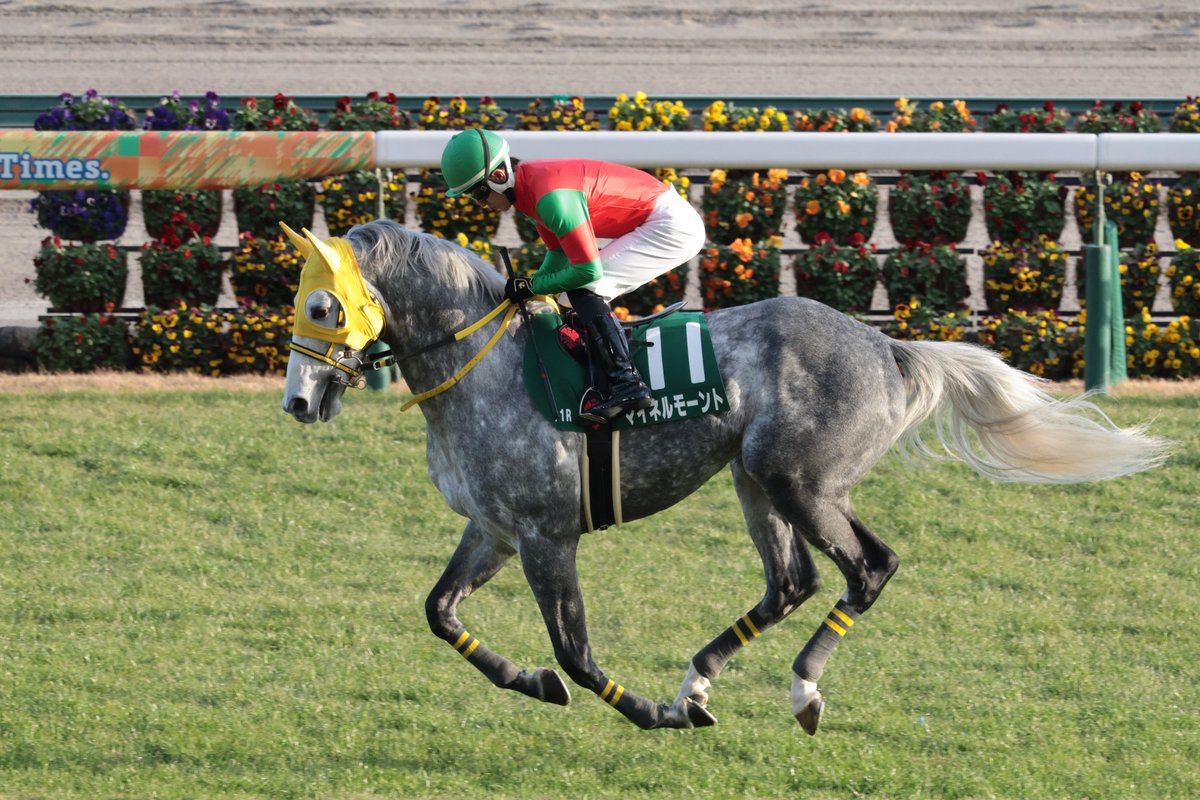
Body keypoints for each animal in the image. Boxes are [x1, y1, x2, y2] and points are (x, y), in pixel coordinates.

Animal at [280, 218, 1166, 733]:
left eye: (323, 308)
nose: (297, 400)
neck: (485, 367)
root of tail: (888, 346)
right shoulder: (493, 528)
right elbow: (439, 613)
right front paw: (533, 682)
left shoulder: (545, 533)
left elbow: (575, 649)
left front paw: (638, 711)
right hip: (760, 481)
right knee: (795, 581)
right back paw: (697, 684)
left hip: (798, 479)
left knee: (867, 568)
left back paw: (797, 692)